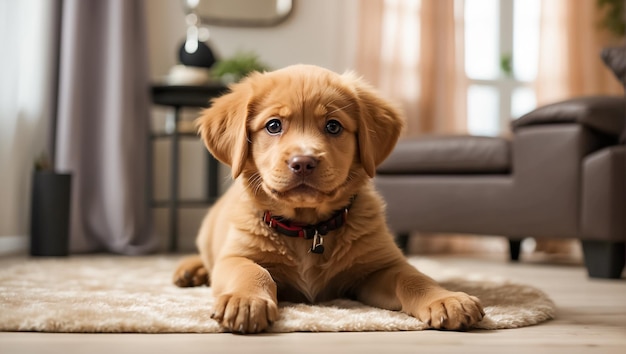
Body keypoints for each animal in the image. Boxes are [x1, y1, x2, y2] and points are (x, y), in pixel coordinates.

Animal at [173, 65, 486, 334]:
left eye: (333, 127)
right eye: (273, 126)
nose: (303, 162)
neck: (309, 229)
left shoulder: (380, 267)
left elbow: (413, 278)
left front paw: (446, 299)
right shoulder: (236, 254)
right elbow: (250, 271)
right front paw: (246, 301)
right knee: (207, 257)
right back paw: (190, 269)